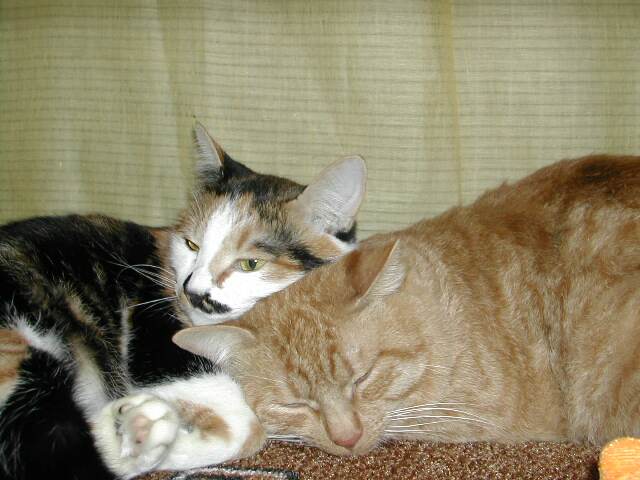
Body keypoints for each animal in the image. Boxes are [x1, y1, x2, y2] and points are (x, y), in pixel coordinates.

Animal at [0, 122, 366, 479]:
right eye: (191, 245)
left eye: (250, 264)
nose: (193, 291)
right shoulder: (156, 342)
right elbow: (249, 425)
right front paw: (175, 443)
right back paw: (136, 430)